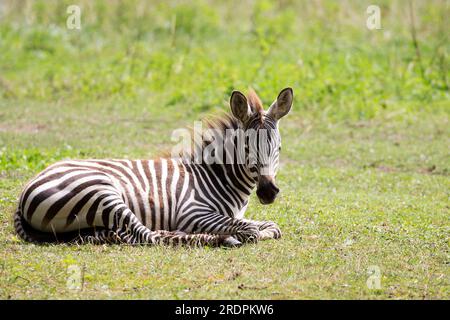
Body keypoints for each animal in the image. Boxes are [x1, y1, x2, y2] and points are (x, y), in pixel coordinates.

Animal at [12, 87, 294, 248]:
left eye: (279, 149)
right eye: (247, 148)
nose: (268, 192)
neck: (214, 177)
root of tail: (27, 187)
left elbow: (270, 226)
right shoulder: (192, 212)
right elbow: (252, 230)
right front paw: (238, 233)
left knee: (126, 233)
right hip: (102, 192)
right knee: (147, 235)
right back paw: (217, 238)